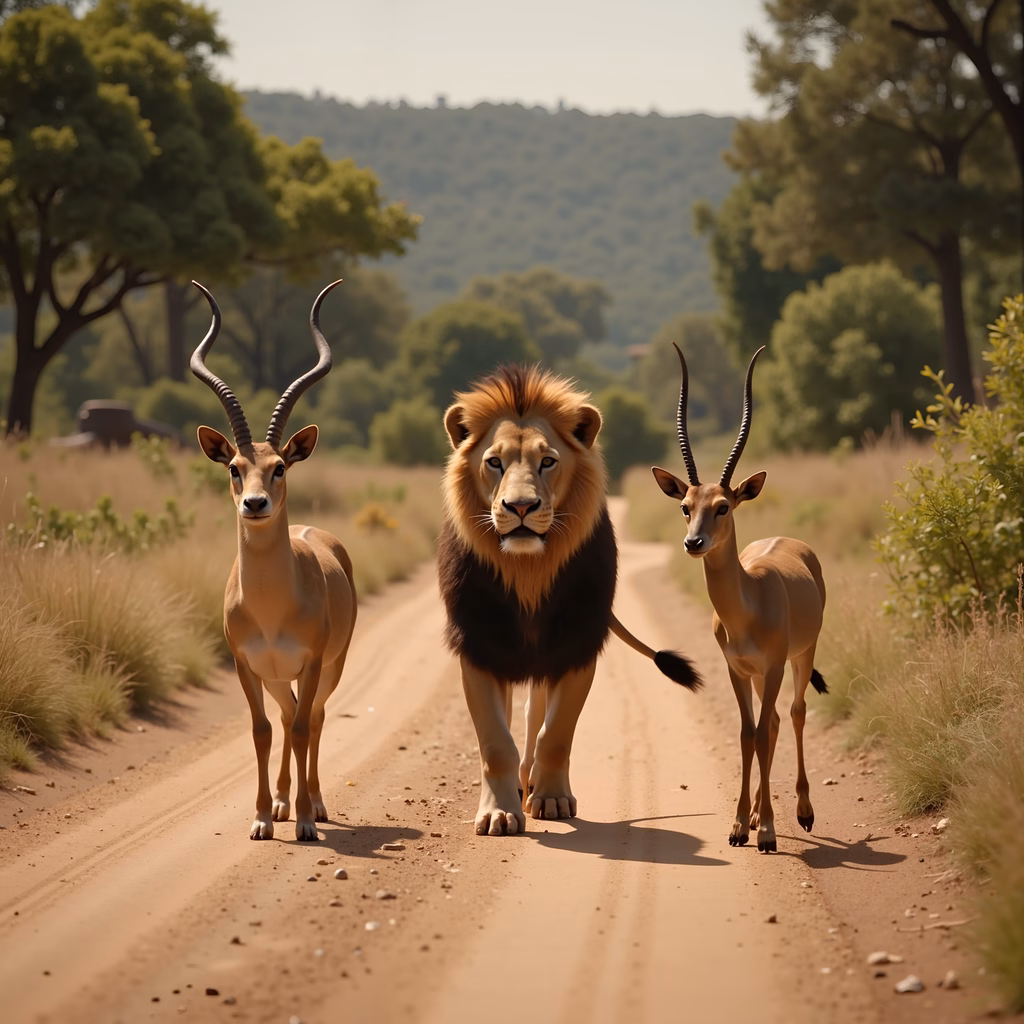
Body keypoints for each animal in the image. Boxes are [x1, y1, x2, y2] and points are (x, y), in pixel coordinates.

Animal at [438, 364, 701, 836]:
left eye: (548, 461)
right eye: (494, 461)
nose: (520, 506)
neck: (527, 570)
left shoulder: (577, 642)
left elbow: (555, 733)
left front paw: (551, 799)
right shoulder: (477, 643)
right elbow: (495, 740)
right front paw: (499, 813)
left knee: (535, 715)